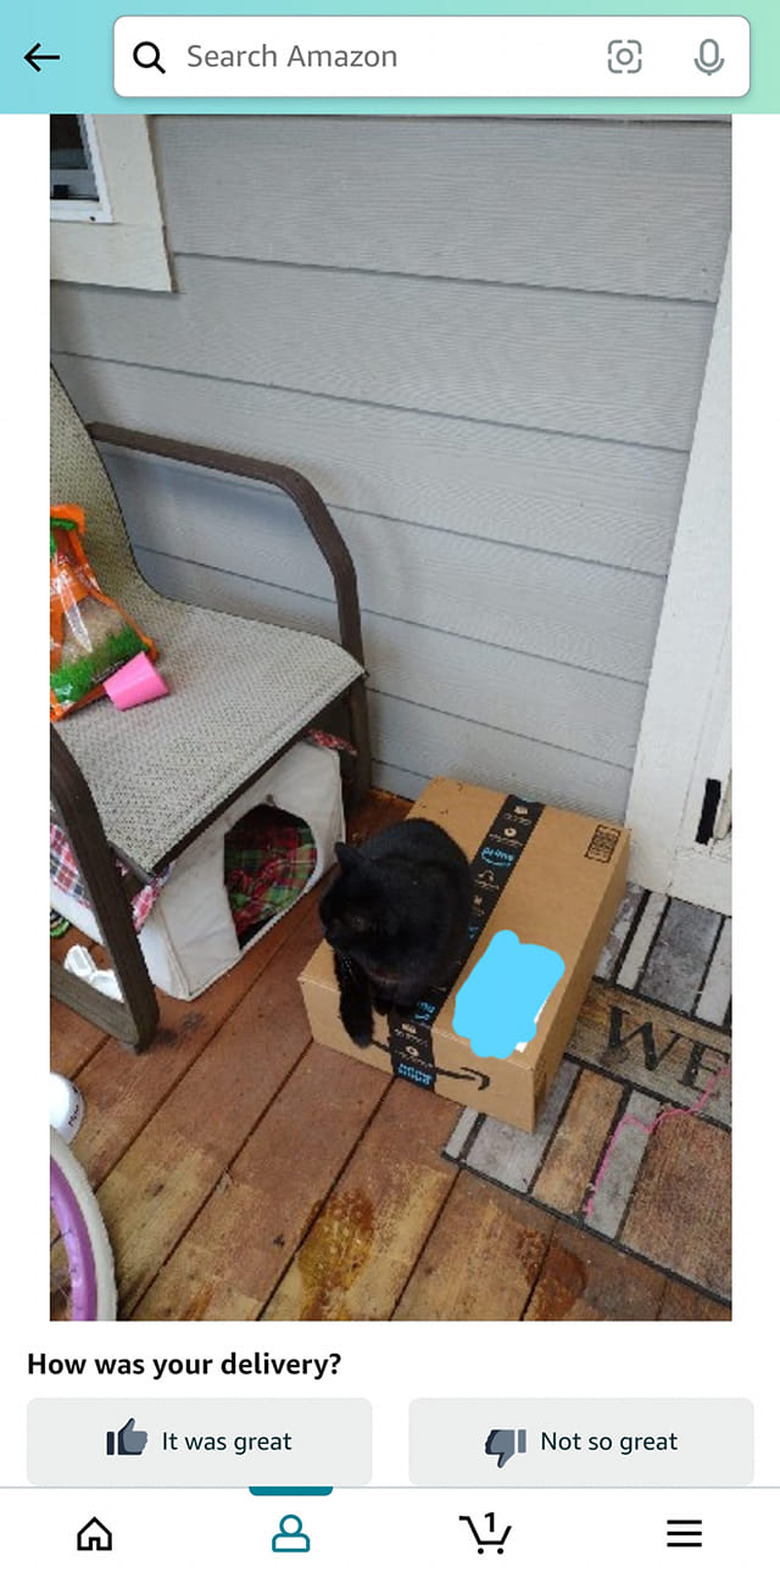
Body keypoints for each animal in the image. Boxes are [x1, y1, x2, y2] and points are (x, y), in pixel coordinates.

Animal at [318, 820, 476, 1054]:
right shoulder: (374, 973)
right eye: (324, 919)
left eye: (333, 925)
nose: (326, 936)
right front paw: (382, 1003)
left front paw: (402, 1008)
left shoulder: (423, 973)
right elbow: (383, 987)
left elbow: (409, 990)